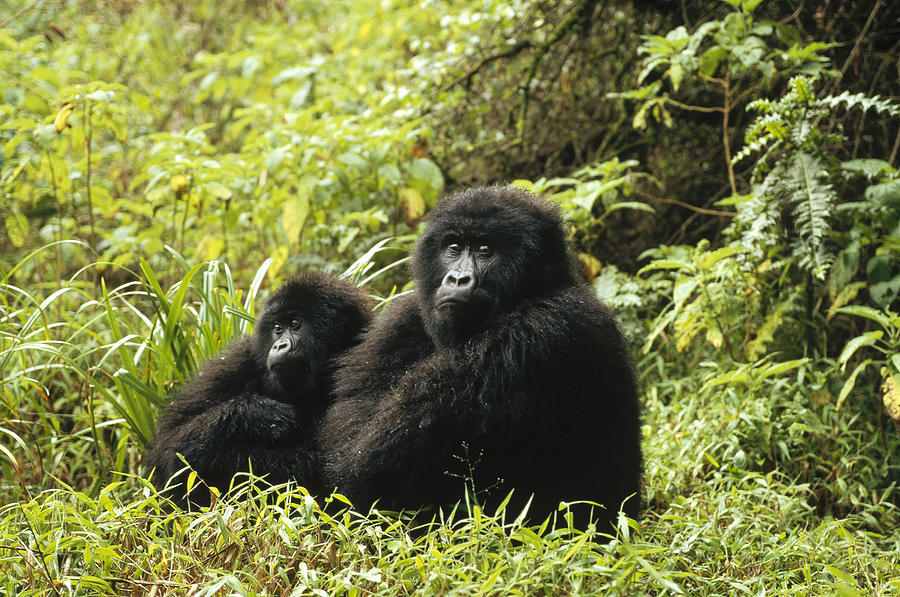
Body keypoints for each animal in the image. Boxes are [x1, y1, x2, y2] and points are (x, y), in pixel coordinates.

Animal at [149, 272, 372, 506]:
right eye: (277, 328)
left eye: (295, 323)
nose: (279, 345)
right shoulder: (235, 360)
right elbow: (170, 450)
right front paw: (259, 414)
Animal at [320, 185, 644, 528]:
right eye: (454, 247)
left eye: (485, 249)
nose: (457, 279)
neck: (534, 290)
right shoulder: (404, 317)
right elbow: (350, 428)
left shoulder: (545, 327)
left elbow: (368, 466)